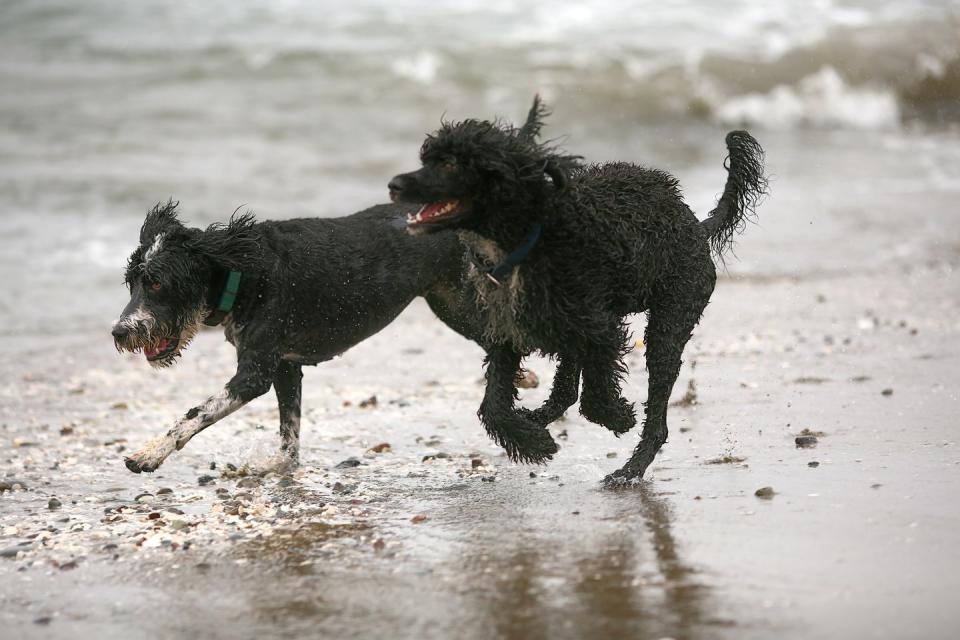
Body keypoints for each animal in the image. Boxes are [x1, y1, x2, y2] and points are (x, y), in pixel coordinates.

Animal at [386, 101, 768, 484]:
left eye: (451, 163)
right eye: (427, 158)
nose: (394, 184)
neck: (530, 236)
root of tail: (697, 229)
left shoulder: (601, 329)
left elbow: (596, 396)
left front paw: (619, 418)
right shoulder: (508, 332)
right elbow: (493, 405)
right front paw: (534, 442)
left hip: (670, 316)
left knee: (655, 414)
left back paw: (630, 469)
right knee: (567, 388)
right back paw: (539, 419)